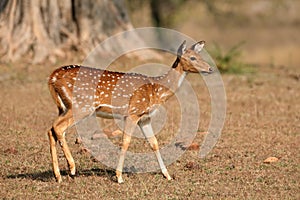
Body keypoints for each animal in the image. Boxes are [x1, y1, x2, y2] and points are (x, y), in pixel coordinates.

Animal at [47, 40, 212, 183]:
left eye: (200, 56)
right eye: (192, 57)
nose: (210, 68)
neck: (157, 91)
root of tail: (53, 77)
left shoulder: (144, 117)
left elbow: (154, 142)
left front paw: (167, 175)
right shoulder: (133, 112)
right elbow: (126, 142)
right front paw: (119, 177)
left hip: (64, 107)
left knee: (51, 129)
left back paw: (58, 176)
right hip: (81, 106)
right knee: (58, 128)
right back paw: (72, 168)